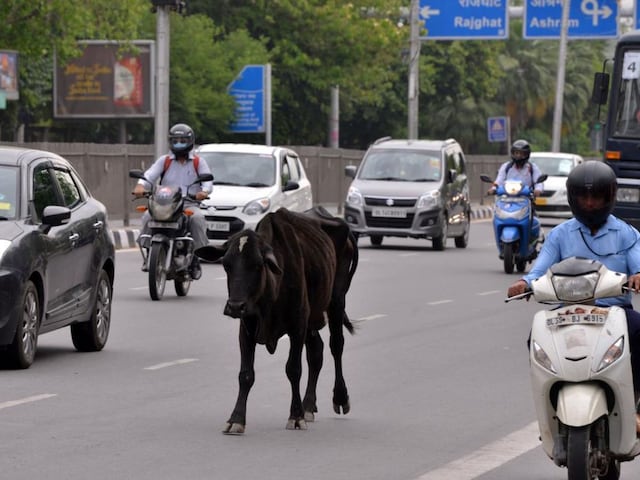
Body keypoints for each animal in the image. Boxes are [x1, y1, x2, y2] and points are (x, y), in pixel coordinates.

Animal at [198, 207, 358, 436]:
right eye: (227, 265)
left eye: (258, 265)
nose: (235, 306)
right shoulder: (246, 328)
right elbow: (245, 374)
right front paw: (236, 419)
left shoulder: (297, 326)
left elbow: (294, 369)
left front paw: (295, 416)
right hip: (313, 318)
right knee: (316, 352)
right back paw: (308, 406)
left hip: (336, 301)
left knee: (336, 345)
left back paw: (340, 398)